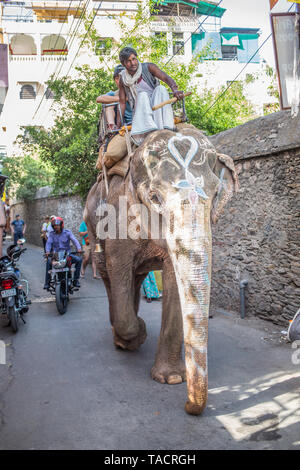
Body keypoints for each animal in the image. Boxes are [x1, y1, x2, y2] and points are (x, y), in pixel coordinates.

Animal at [85, 126, 239, 414]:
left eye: (215, 195)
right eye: (154, 197)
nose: (189, 406)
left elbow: (173, 277)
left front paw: (171, 379)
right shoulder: (118, 219)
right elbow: (118, 267)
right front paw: (139, 334)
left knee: (135, 279)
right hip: (92, 231)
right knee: (111, 278)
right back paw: (121, 340)